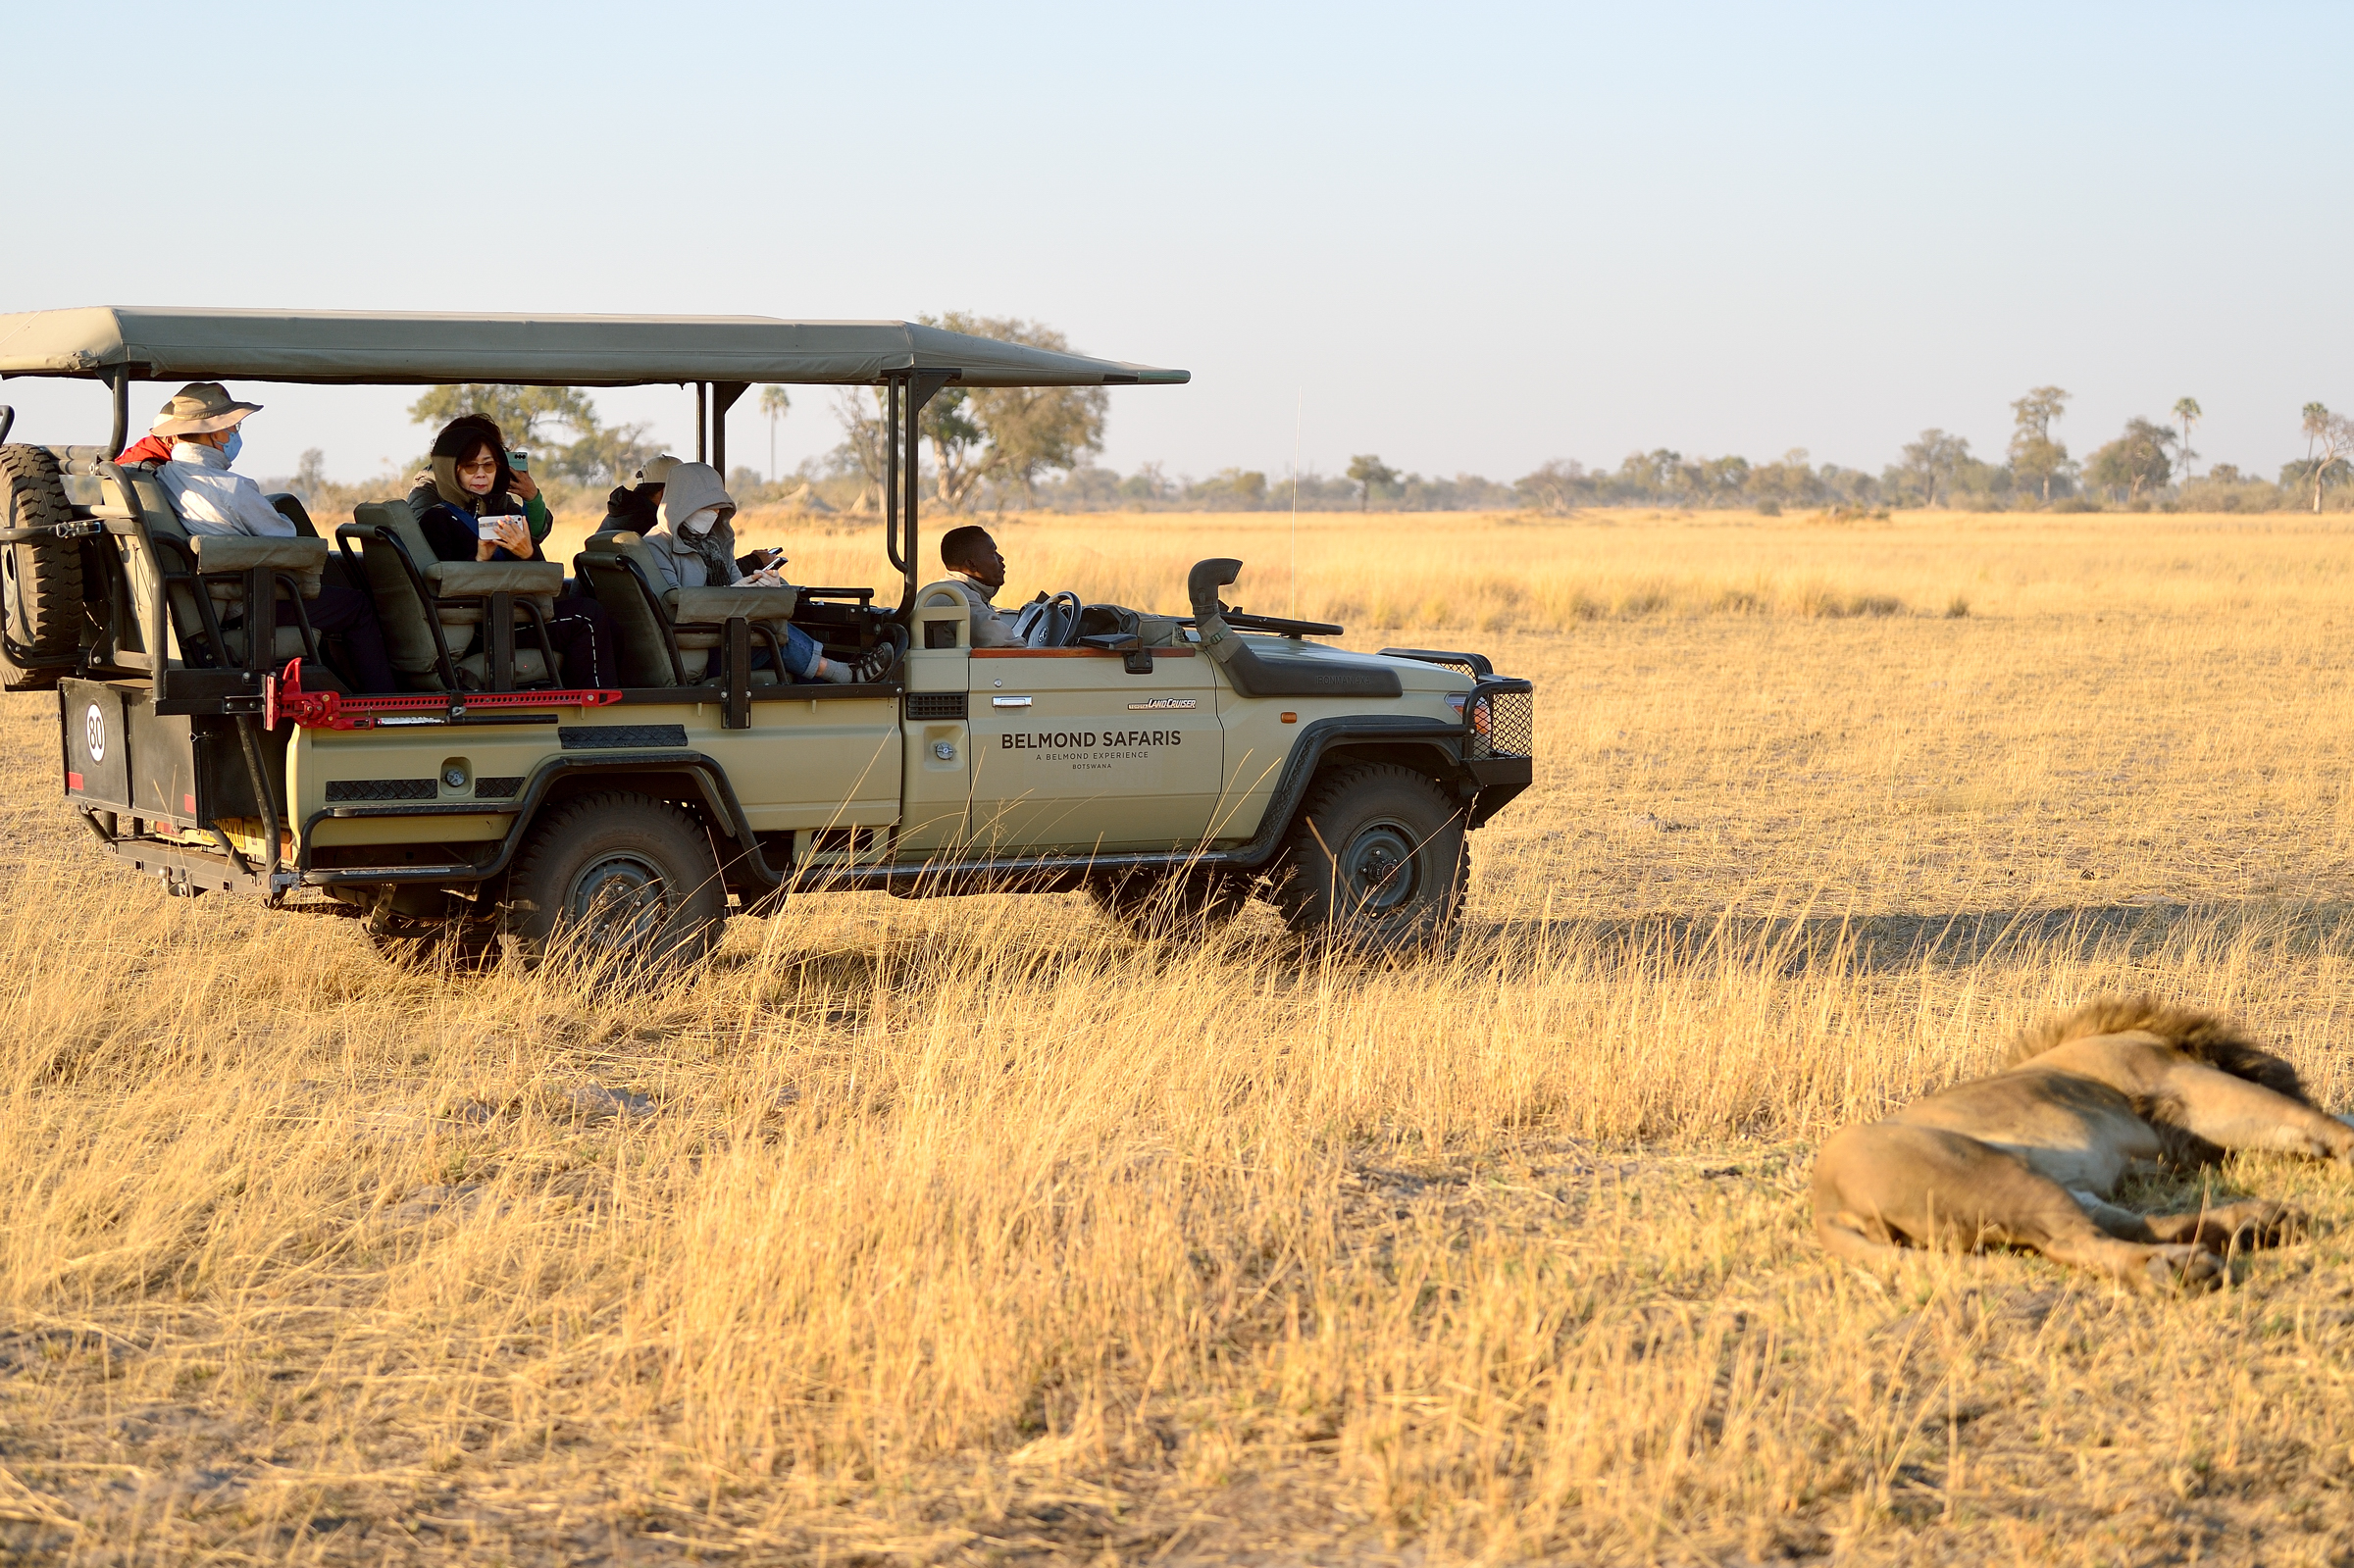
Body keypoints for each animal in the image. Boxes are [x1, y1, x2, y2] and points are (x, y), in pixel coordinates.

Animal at [1812, 997, 2354, 1290]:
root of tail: (1825, 1202)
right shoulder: (2184, 1085)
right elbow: (2303, 1115)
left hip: (2048, 1185)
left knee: (2133, 1224)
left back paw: (2259, 1223)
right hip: (1998, 1177)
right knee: (2081, 1242)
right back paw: (2181, 1268)